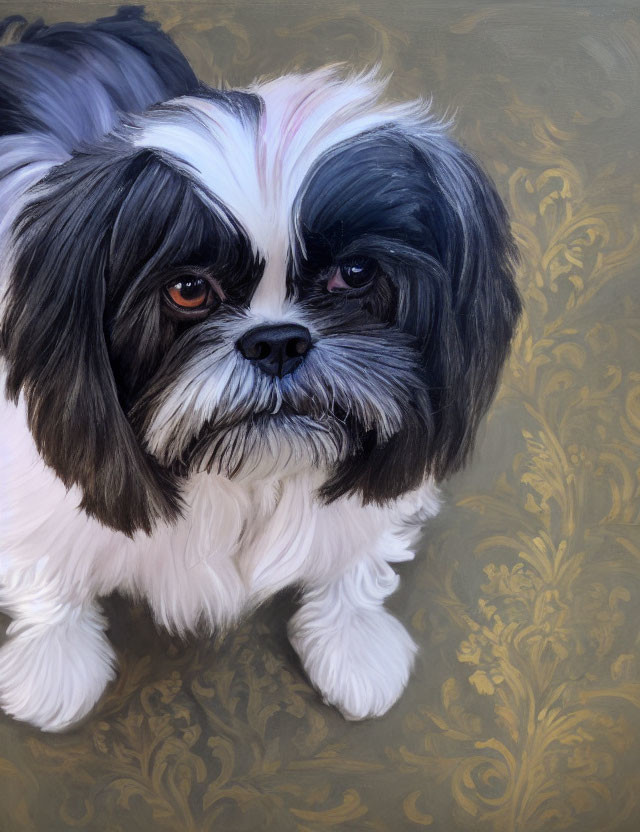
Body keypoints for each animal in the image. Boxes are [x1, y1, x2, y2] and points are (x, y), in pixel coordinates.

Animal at [0, 9, 520, 732]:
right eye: (188, 289)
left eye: (355, 272)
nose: (277, 341)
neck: (246, 481)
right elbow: (46, 579)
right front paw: (54, 669)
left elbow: (358, 559)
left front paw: (354, 645)